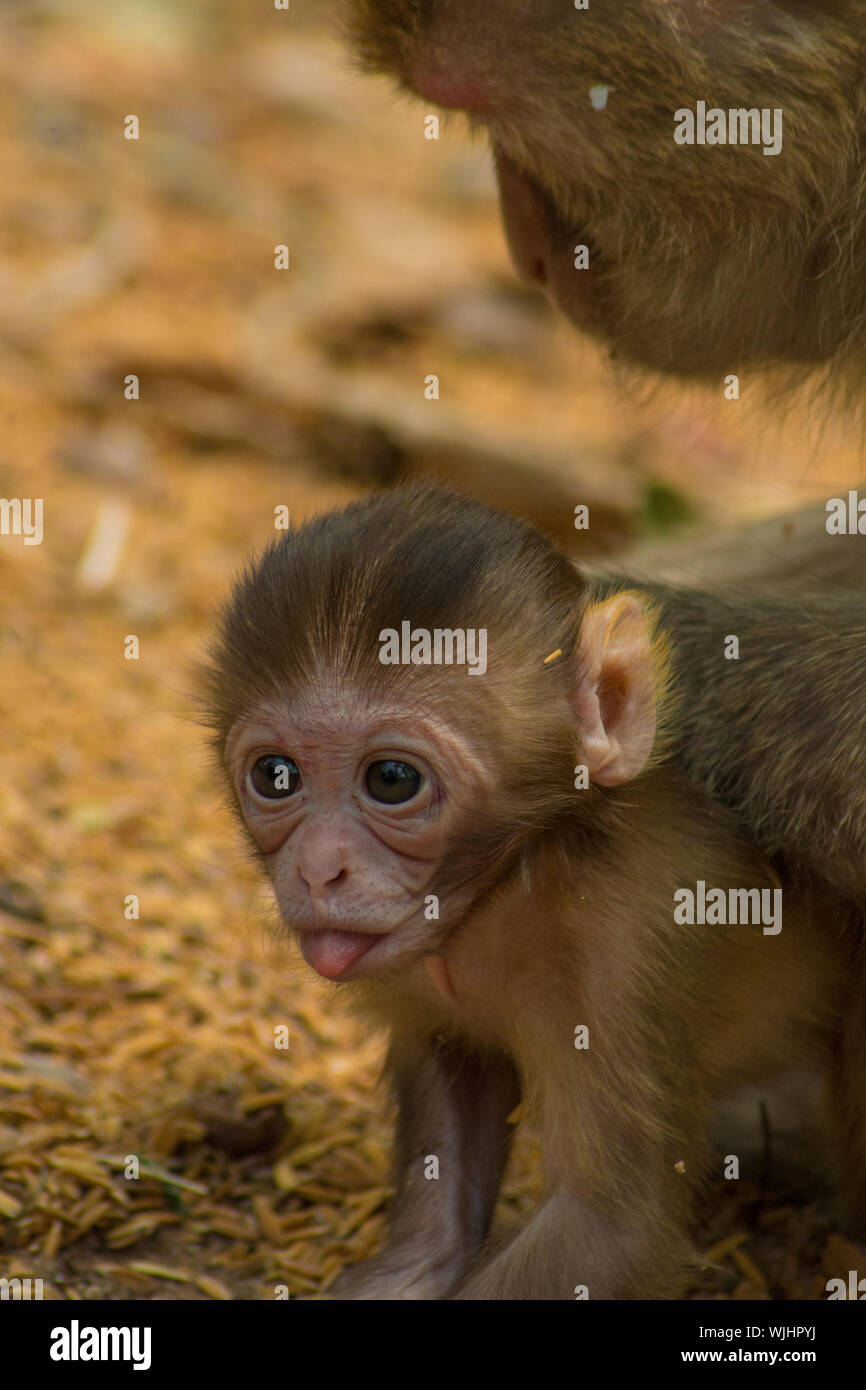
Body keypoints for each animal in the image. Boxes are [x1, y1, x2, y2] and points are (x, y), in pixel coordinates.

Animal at [201, 482, 862, 1299]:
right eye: (275, 776)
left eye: (392, 779)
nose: (320, 868)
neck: (509, 882)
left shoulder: (630, 934)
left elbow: (607, 1224)